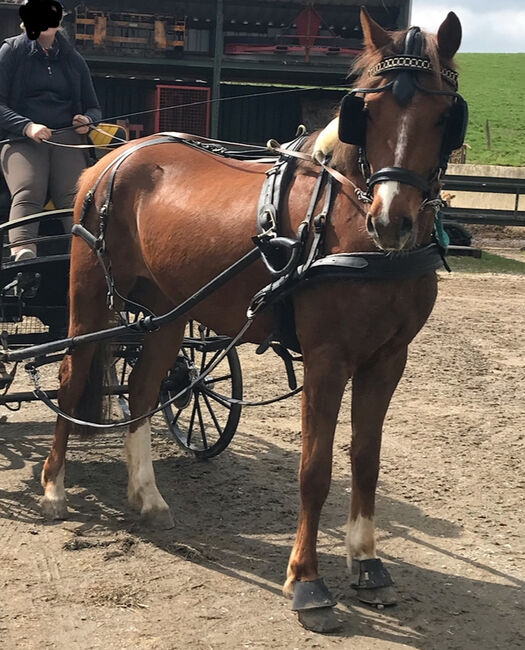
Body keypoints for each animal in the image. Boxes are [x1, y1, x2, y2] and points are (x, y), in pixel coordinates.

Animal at [42, 8, 462, 628]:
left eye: (443, 115)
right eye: (366, 110)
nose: (393, 221)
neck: (346, 223)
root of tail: (118, 155)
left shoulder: (389, 358)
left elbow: (366, 459)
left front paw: (367, 565)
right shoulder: (328, 358)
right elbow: (315, 469)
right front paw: (307, 582)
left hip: (168, 310)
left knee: (143, 388)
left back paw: (148, 496)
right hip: (89, 293)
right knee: (72, 379)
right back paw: (53, 489)